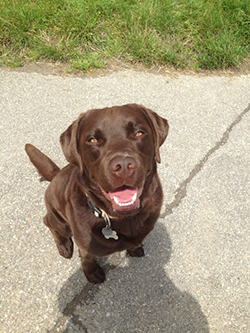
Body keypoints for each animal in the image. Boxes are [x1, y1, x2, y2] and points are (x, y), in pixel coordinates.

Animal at [25, 102, 169, 282]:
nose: (123, 166)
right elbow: (87, 258)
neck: (122, 218)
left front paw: (135, 248)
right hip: (61, 221)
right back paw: (64, 244)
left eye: (139, 133)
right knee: (48, 221)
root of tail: (56, 174)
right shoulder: (85, 245)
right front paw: (92, 273)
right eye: (92, 140)